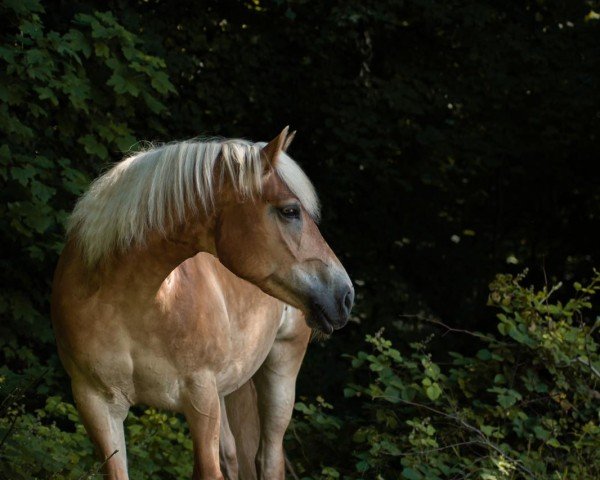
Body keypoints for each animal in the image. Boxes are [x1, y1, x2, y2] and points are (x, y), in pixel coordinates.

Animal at [51, 128, 354, 480]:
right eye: (290, 210)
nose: (345, 294)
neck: (132, 304)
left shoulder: (200, 396)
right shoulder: (96, 403)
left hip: (281, 367)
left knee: (268, 458)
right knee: (233, 455)